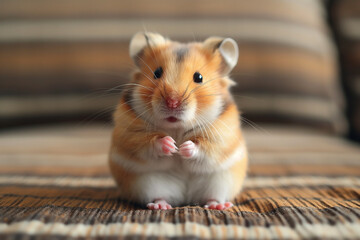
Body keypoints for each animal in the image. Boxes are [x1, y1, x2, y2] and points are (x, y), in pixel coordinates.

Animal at [108, 32, 248, 210]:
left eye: (199, 77)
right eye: (157, 73)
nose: (172, 102)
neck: (176, 128)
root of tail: (186, 198)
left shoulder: (219, 137)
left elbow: (202, 148)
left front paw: (183, 147)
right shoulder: (132, 135)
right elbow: (149, 143)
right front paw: (171, 145)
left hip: (220, 182)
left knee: (212, 197)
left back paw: (219, 206)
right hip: (146, 183)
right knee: (159, 196)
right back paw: (160, 206)